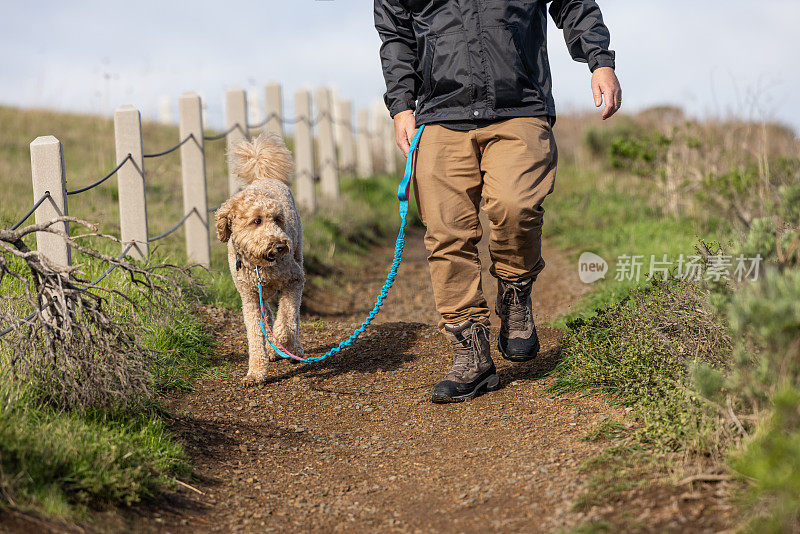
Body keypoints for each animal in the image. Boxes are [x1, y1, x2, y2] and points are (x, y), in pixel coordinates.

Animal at [214, 133, 304, 386]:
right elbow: (255, 333)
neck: (259, 265)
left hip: (299, 254)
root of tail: (263, 177)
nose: (281, 245)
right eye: (257, 221)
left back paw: (293, 348)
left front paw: (281, 343)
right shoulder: (250, 298)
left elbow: (288, 318)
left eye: (278, 219)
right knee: (269, 315)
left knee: (291, 316)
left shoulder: (295, 280)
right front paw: (255, 372)